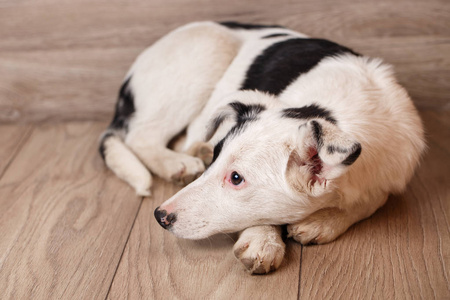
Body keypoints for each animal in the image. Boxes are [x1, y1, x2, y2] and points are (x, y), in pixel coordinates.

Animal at [99, 21, 426, 274]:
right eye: (217, 161)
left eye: (236, 178)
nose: (160, 216)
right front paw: (263, 240)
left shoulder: (390, 174)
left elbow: (371, 199)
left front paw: (323, 221)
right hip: (207, 53)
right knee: (142, 135)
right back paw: (176, 163)